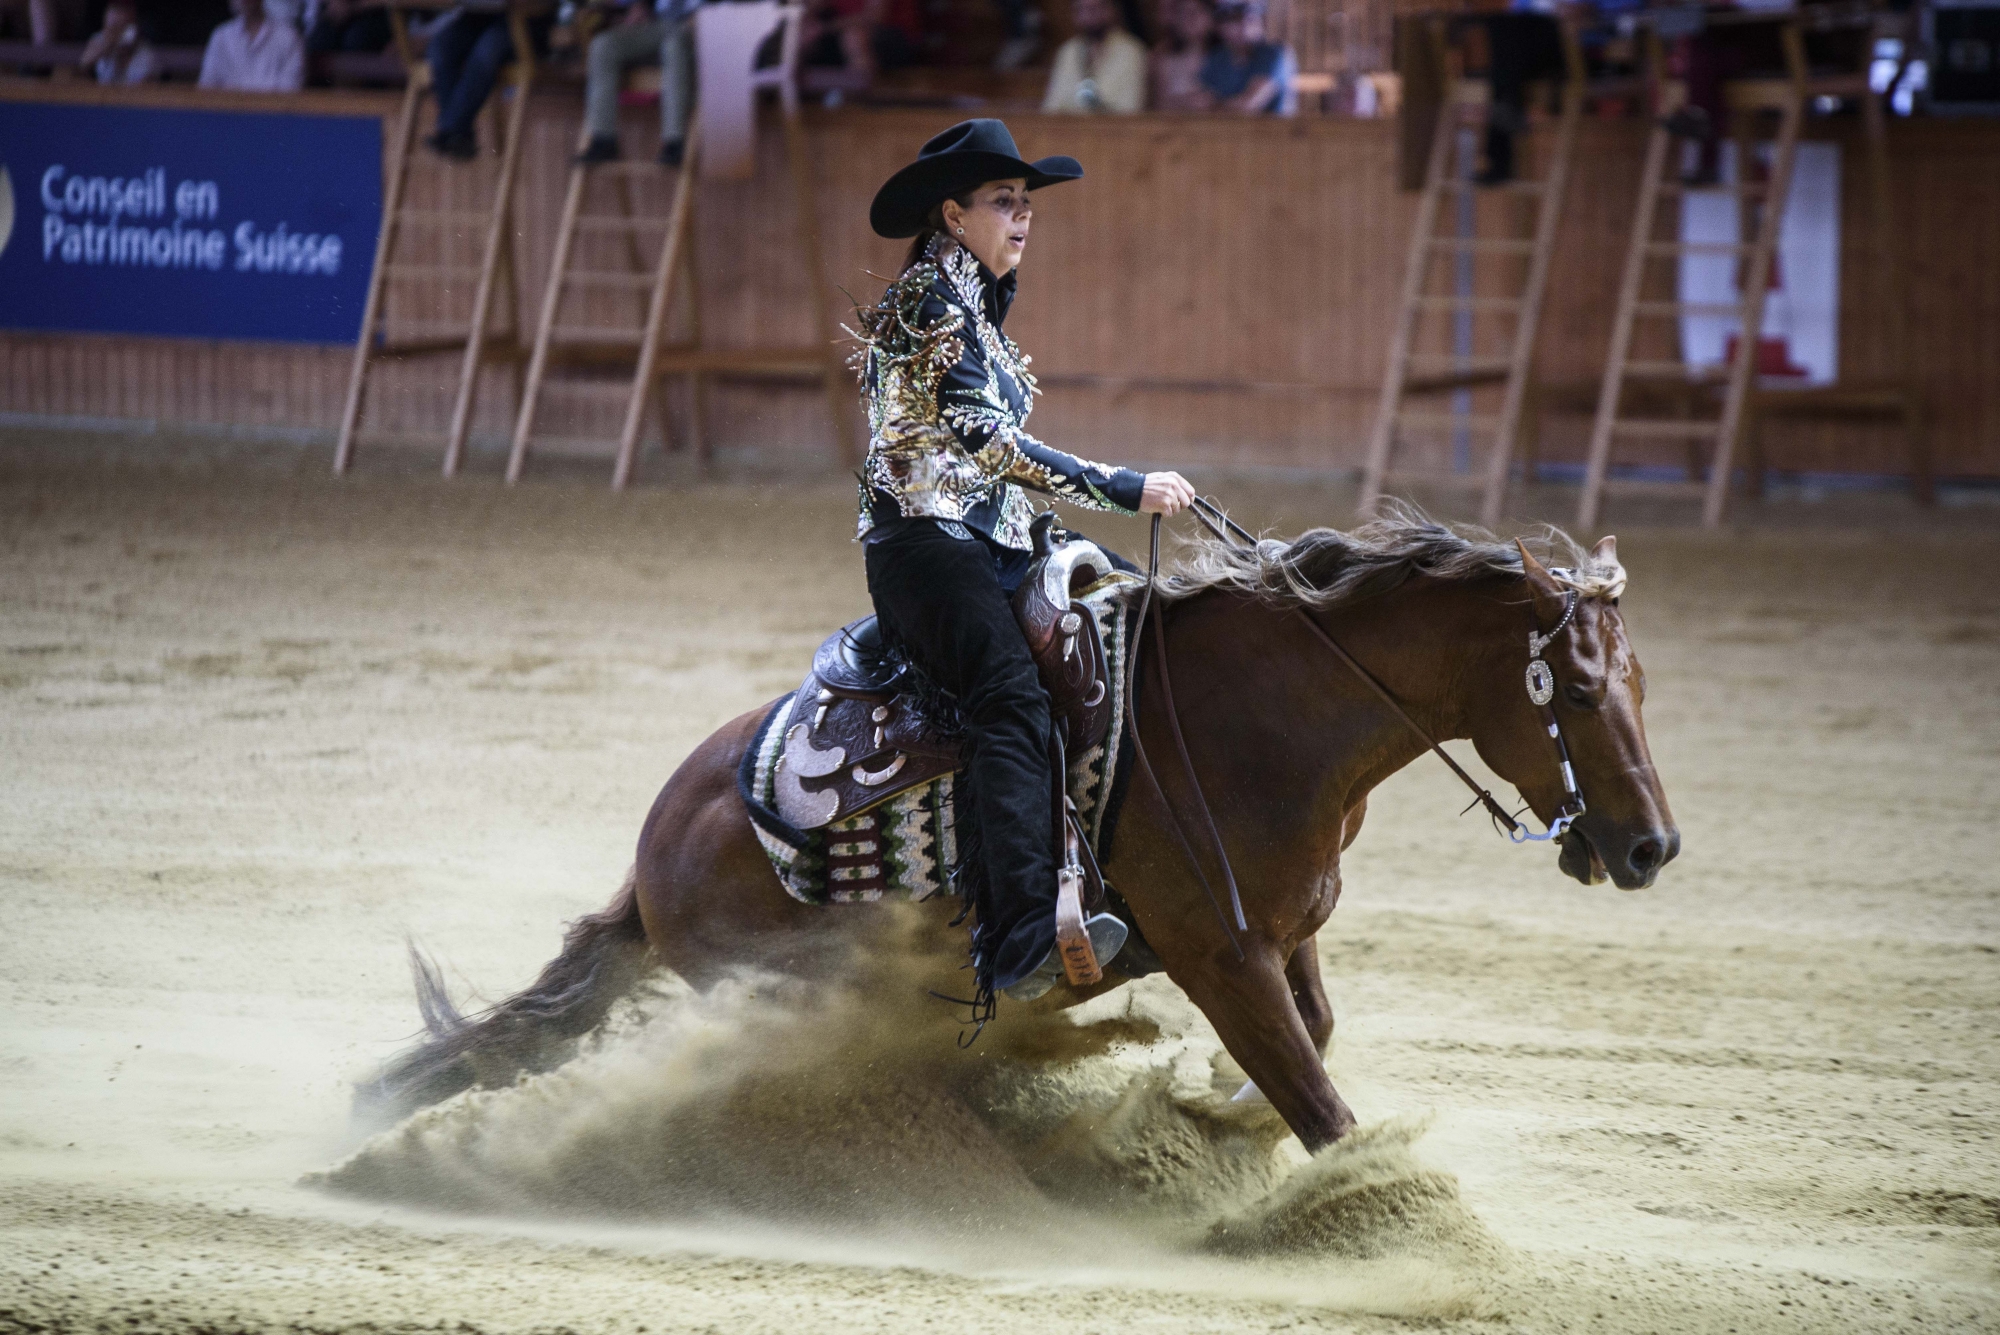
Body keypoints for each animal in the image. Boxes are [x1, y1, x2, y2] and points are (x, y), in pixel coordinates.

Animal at [372, 511, 1672, 1151]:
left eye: (1640, 684)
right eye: (1577, 690)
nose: (1650, 847)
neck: (1256, 719)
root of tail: (652, 864)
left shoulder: (1284, 934)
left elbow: (1311, 1044)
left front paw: (1209, 1112)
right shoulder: (1219, 957)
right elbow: (1320, 1110)